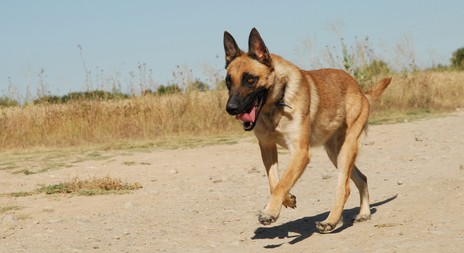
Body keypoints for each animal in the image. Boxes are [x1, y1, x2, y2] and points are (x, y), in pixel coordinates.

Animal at [223, 28, 390, 233]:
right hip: (335, 153)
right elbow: (275, 182)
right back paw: (364, 213)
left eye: (250, 79)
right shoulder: (267, 148)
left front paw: (270, 212)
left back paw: (330, 221)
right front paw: (287, 200)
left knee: (345, 188)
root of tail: (361, 91)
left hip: (346, 150)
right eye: (228, 82)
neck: (278, 101)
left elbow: (282, 183)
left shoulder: (301, 153)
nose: (231, 108)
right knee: (362, 178)